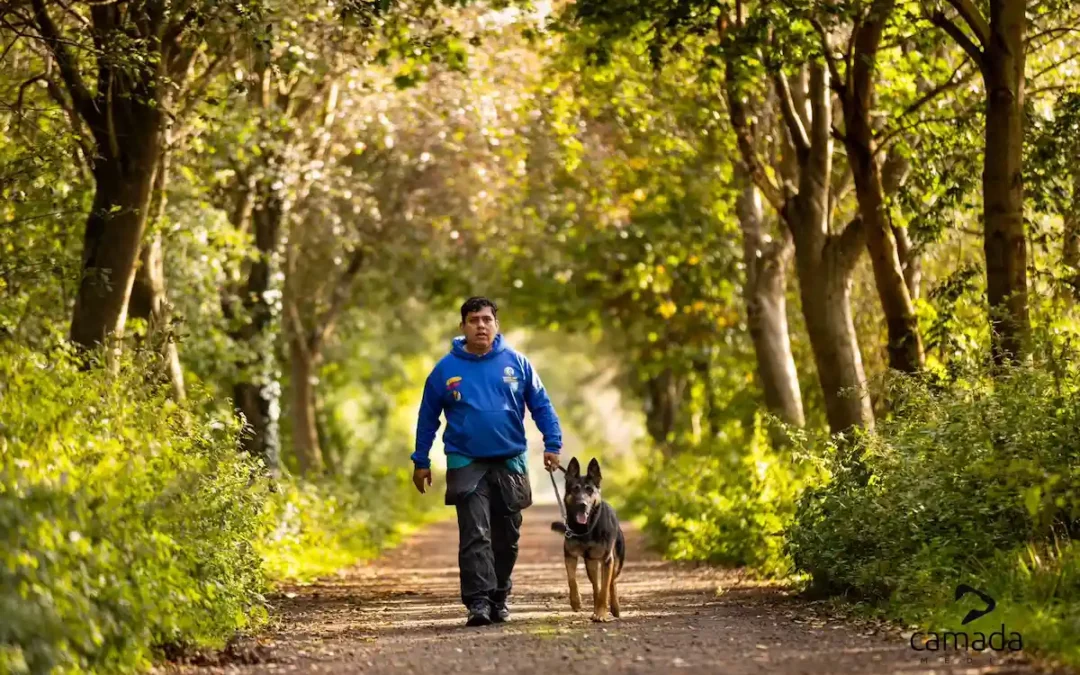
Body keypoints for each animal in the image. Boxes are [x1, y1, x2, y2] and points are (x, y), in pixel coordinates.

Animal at [548, 457, 626, 622]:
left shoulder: (607, 560)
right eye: (575, 489)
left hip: (616, 561)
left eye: (589, 490)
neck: (585, 529)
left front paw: (602, 613)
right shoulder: (570, 555)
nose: (582, 505)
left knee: (611, 582)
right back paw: (595, 608)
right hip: (590, 564)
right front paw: (576, 602)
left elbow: (605, 588)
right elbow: (572, 579)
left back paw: (613, 607)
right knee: (595, 586)